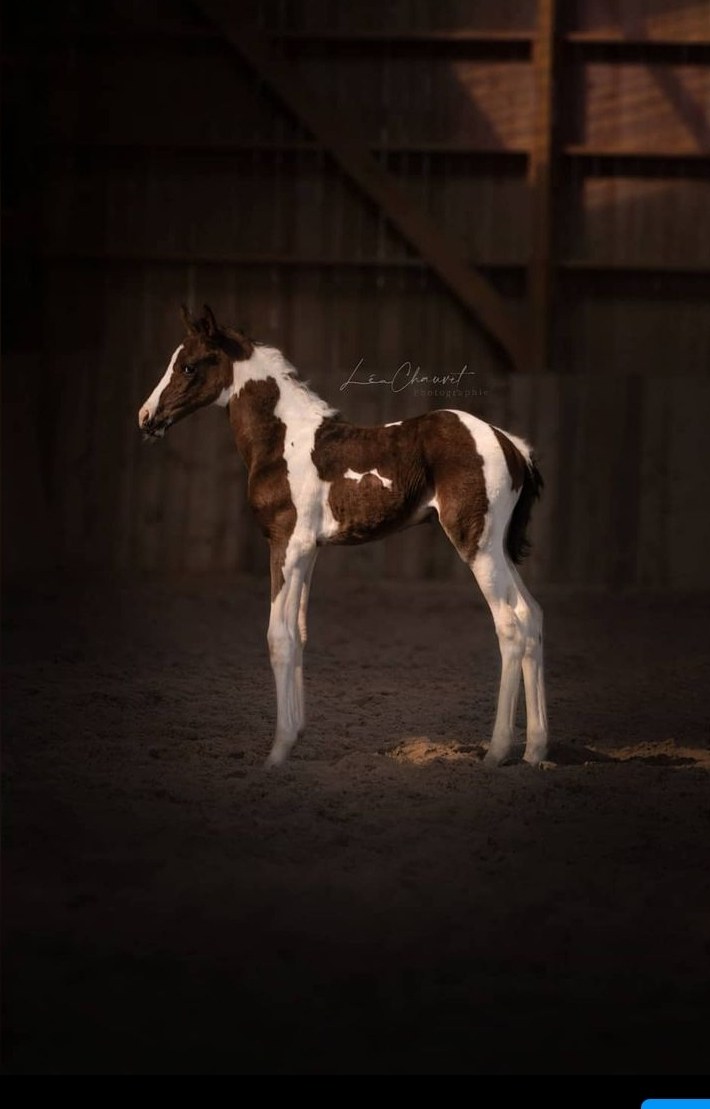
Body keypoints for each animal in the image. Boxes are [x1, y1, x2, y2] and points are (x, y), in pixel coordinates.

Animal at [139, 304, 548, 768]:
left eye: (188, 366)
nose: (146, 418)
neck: (282, 440)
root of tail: (511, 445)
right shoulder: (309, 551)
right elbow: (298, 633)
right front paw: (295, 735)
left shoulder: (286, 543)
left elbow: (278, 637)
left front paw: (277, 751)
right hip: (498, 548)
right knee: (532, 617)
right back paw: (535, 750)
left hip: (476, 546)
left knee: (510, 626)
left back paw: (497, 751)